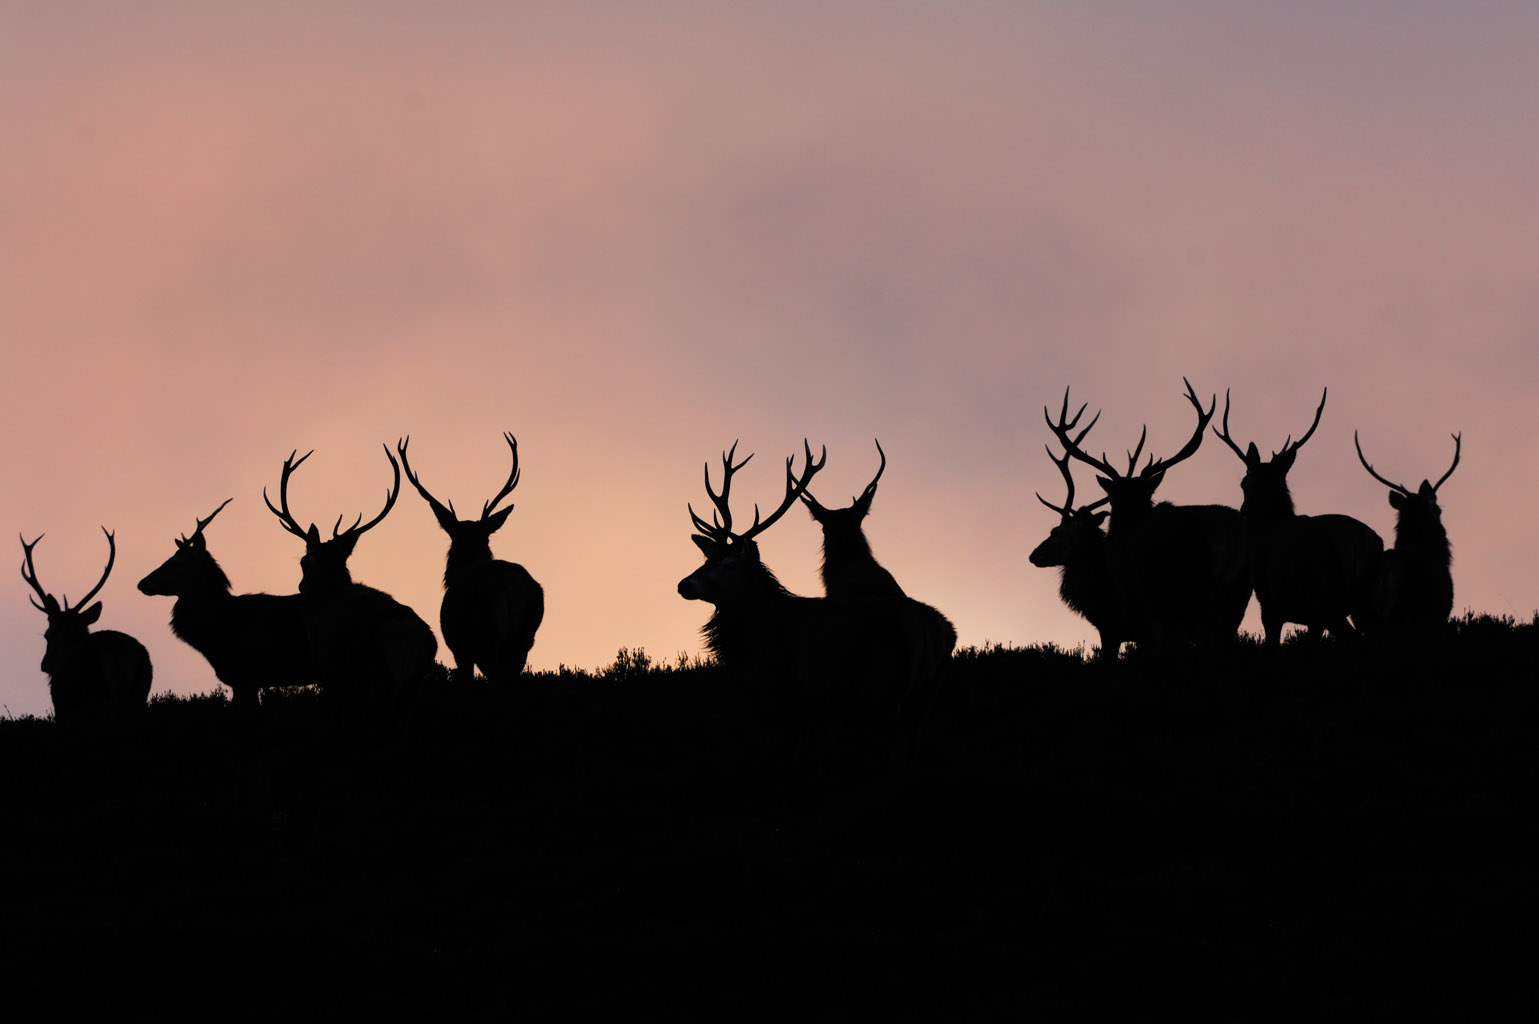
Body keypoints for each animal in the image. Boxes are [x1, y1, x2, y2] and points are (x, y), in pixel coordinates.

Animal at [20, 529, 153, 723]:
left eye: (48, 633)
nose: (45, 665)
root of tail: (118, 652)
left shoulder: (61, 709)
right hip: (140, 693)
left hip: (91, 695)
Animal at [265, 447, 439, 701]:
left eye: (303, 561)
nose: (301, 586)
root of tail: (411, 639)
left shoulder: (329, 673)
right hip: (413, 687)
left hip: (368, 675)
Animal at [1045, 380, 1251, 653]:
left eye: (1055, 532)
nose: (1033, 555)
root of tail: (1227, 530)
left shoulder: (1130, 619)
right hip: (1238, 596)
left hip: (1184, 592)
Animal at [1211, 389, 1384, 645]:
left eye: (1244, 483)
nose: (1243, 512)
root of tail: (1363, 541)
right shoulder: (1312, 621)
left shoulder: (1269, 604)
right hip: (1368, 602)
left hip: (1325, 595)